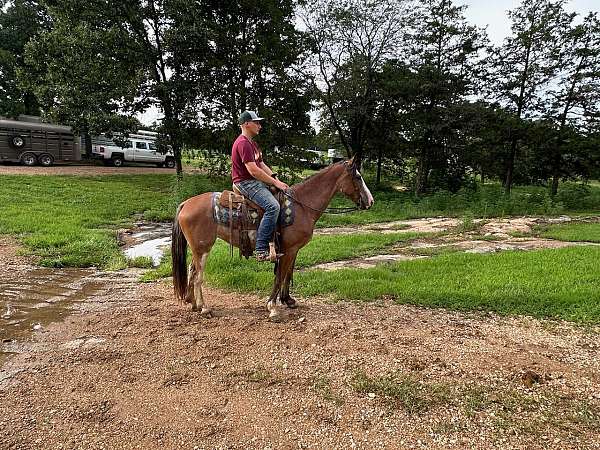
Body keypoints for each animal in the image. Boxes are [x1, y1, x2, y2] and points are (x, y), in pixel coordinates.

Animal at [171, 158, 372, 320]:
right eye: (358, 177)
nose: (370, 201)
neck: (302, 205)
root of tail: (186, 203)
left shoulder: (292, 250)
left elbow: (287, 274)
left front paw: (288, 300)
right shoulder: (288, 250)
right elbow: (280, 276)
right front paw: (273, 307)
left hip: (197, 248)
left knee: (191, 270)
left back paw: (193, 303)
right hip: (203, 248)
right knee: (198, 275)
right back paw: (204, 308)